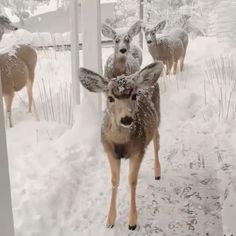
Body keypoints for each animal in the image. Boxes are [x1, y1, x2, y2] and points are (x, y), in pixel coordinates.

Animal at [79, 60, 164, 230]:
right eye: (110, 98)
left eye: (134, 95)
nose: (126, 119)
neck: (121, 143)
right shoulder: (109, 151)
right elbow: (114, 180)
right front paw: (110, 221)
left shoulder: (137, 150)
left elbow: (132, 181)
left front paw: (132, 222)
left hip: (157, 117)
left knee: (156, 141)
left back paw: (157, 172)